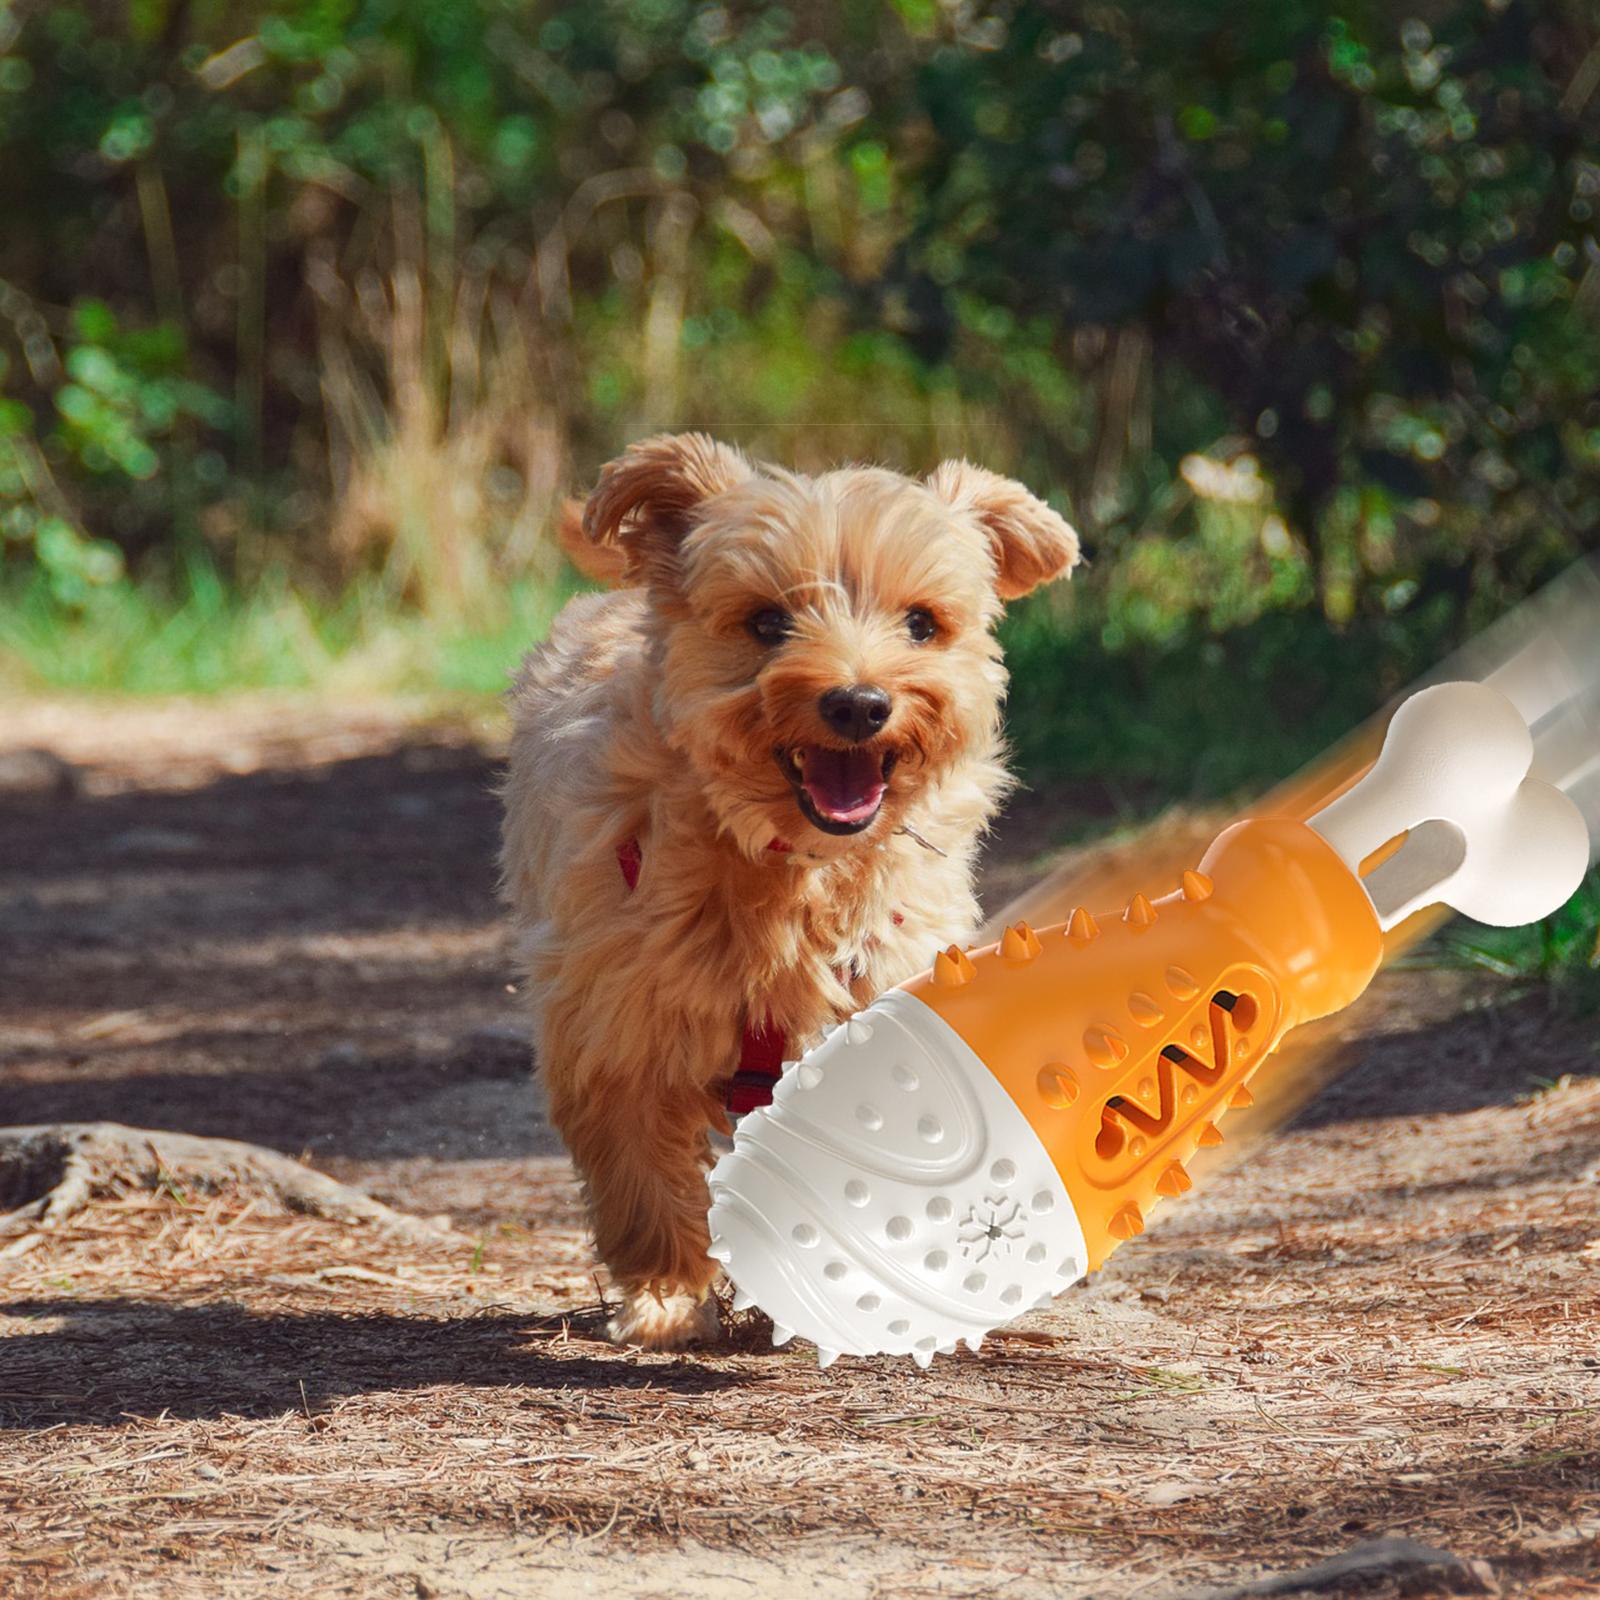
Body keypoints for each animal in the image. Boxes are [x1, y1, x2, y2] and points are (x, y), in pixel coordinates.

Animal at [499, 432, 1075, 1344]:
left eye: (922, 622)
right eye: (767, 622)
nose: (860, 702)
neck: (794, 870)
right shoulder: (618, 1025)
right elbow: (643, 1175)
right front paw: (667, 1298)